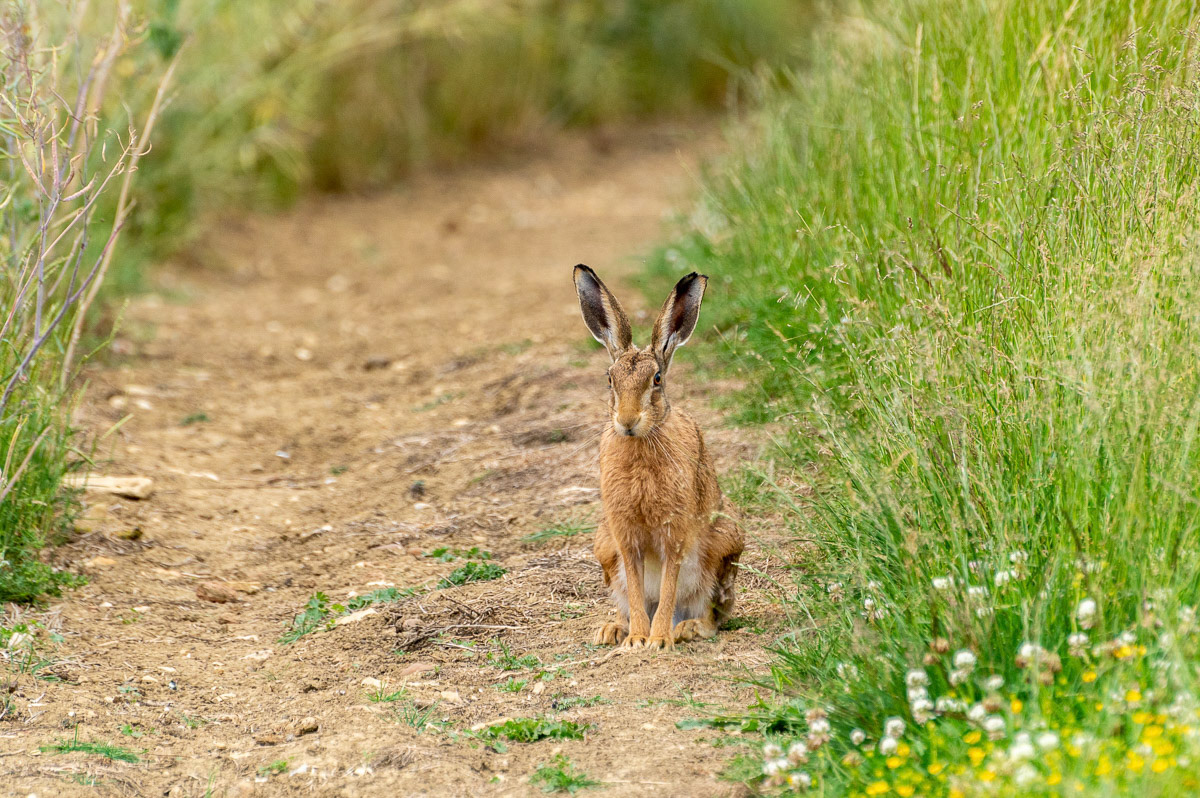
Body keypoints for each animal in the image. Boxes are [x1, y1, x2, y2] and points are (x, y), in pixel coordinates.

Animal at [572, 264, 743, 650]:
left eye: (657, 379)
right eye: (610, 380)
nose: (627, 421)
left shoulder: (674, 531)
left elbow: (668, 584)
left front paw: (659, 640)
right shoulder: (624, 536)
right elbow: (637, 588)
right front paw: (638, 638)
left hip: (723, 545)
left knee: (711, 613)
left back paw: (685, 628)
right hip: (604, 549)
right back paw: (614, 630)